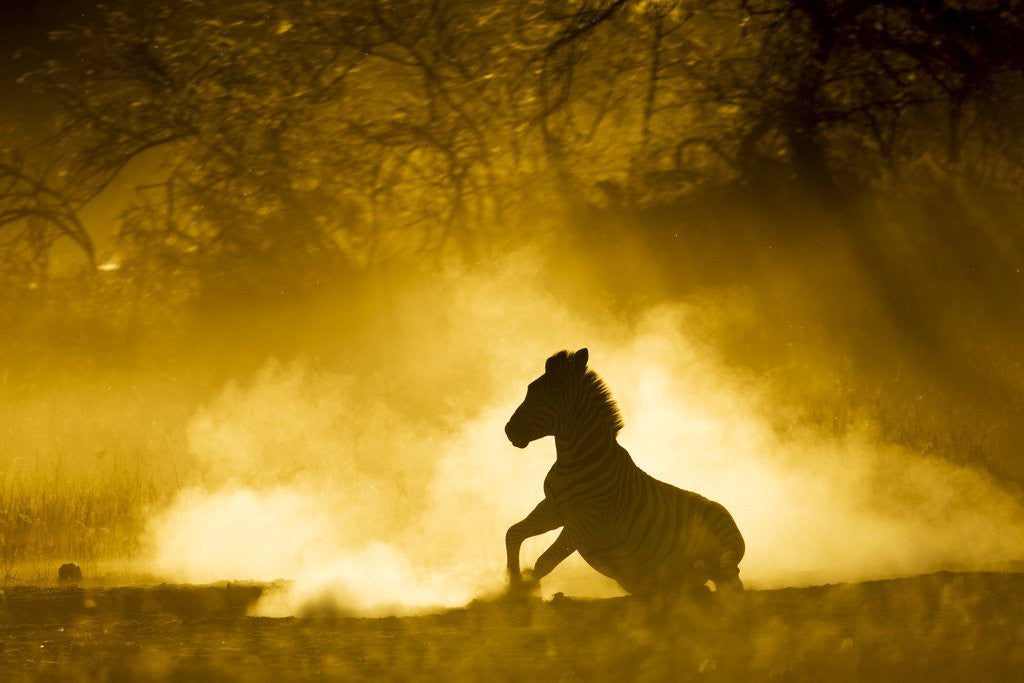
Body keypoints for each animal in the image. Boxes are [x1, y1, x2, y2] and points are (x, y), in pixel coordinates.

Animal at [503, 348, 745, 597]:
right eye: (531, 388)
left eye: (553, 393)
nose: (509, 430)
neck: (572, 461)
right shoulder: (553, 508)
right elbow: (513, 533)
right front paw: (513, 583)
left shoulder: (587, 520)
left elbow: (545, 561)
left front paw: (523, 592)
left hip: (723, 552)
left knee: (732, 585)